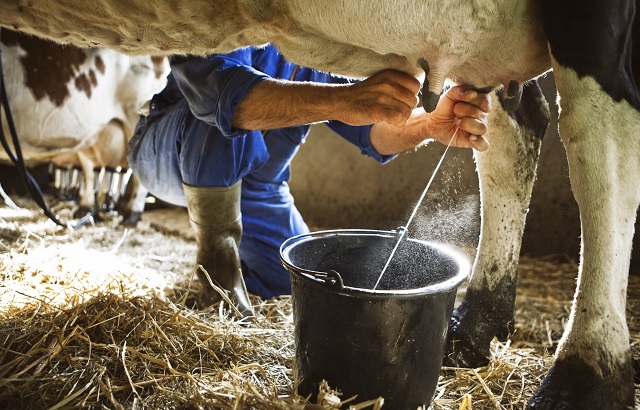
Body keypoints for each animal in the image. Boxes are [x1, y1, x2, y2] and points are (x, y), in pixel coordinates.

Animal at [0, 29, 169, 225]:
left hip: (137, 114)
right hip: (93, 135)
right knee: (90, 170)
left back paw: (130, 215)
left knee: (137, 172)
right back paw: (86, 209)